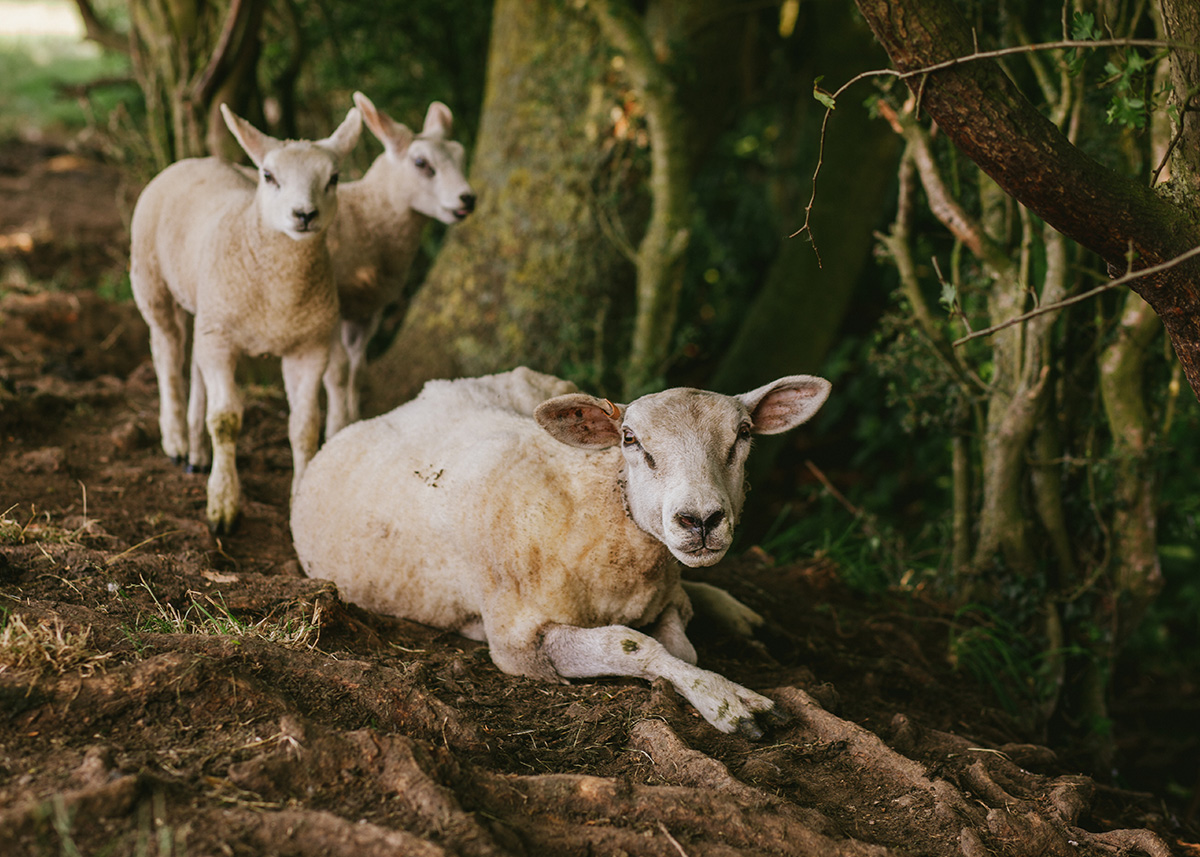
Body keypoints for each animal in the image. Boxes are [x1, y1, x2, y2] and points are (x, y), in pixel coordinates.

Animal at [131, 103, 362, 530]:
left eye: (334, 178)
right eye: (268, 176)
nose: (304, 214)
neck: (277, 295)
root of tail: (195, 160)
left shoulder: (309, 346)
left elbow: (304, 427)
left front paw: (299, 500)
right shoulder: (222, 339)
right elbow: (226, 421)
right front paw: (222, 505)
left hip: (208, 308)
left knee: (194, 363)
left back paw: (196, 453)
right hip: (151, 281)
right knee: (167, 354)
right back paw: (175, 440)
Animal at [292, 364, 835, 729]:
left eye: (743, 434)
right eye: (630, 439)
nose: (700, 519)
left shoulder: (666, 596)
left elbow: (680, 643)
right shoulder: (519, 645)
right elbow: (635, 645)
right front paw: (727, 700)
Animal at [326, 94, 480, 436]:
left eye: (460, 155)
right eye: (421, 163)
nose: (467, 199)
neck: (360, 216)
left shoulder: (367, 311)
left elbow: (357, 370)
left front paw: (354, 424)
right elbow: (337, 375)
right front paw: (334, 433)